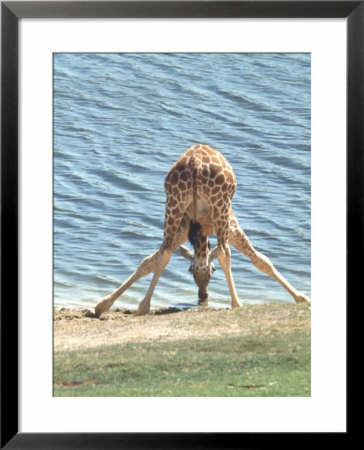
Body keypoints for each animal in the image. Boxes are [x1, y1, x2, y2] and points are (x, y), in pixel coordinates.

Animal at [94, 143, 310, 316]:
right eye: (191, 270)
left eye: (209, 270)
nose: (203, 295)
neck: (203, 232)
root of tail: (195, 163)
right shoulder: (233, 226)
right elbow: (262, 261)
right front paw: (302, 297)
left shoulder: (185, 229)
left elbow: (149, 261)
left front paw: (103, 304)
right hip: (220, 209)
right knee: (223, 251)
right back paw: (236, 303)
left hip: (174, 205)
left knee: (164, 252)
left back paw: (141, 306)